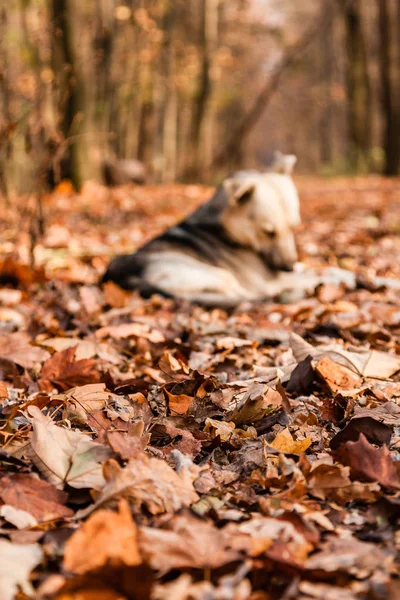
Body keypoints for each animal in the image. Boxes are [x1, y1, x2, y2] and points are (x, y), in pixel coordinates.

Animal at [102, 152, 360, 308]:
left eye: (294, 227)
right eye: (268, 232)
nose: (287, 266)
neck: (229, 231)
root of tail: (122, 277)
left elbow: (317, 269)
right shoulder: (269, 279)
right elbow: (312, 275)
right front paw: (343, 277)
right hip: (220, 275)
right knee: (248, 296)